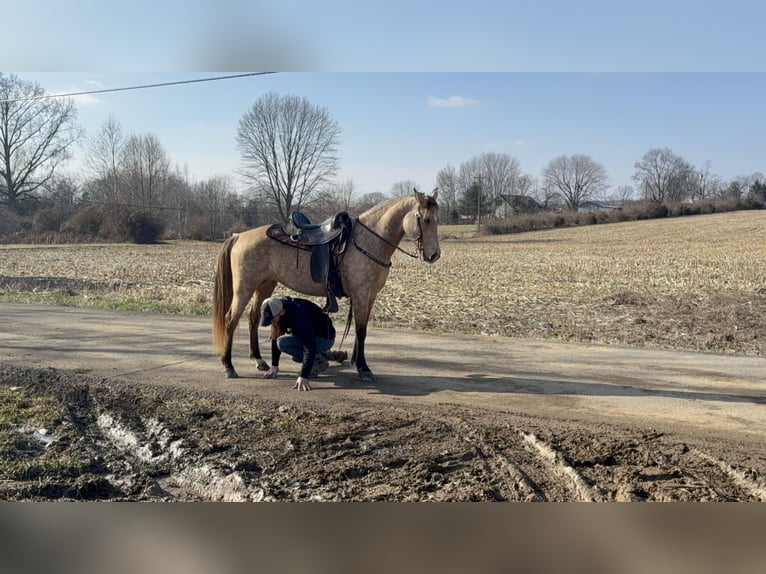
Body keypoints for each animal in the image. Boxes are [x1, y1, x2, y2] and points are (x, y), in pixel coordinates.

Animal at [212, 188, 441, 382]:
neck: (368, 241)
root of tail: (239, 236)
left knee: (253, 317)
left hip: (265, 284)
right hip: (244, 287)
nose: (434, 255)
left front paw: (357, 363)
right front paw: (364, 369)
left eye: (437, 220)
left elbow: (361, 330)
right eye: (426, 220)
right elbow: (361, 331)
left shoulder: (370, 296)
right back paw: (229, 366)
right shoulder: (361, 295)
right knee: (231, 319)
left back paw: (259, 360)